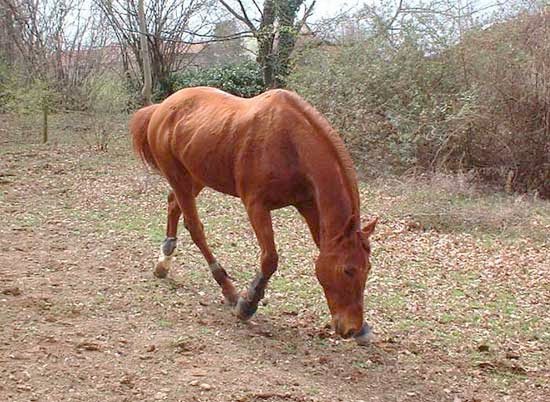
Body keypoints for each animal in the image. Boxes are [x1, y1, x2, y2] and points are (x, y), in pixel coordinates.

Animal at [130, 88, 380, 346]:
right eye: (347, 270)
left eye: (367, 268)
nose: (352, 327)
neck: (290, 144)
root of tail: (162, 107)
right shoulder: (256, 206)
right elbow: (270, 259)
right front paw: (247, 304)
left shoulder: (308, 204)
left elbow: (322, 246)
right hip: (177, 175)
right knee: (195, 227)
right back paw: (227, 288)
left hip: (195, 176)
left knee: (173, 204)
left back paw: (164, 261)